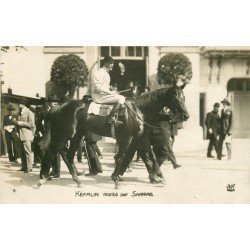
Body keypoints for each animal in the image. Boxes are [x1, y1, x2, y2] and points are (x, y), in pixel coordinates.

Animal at [36, 85, 188, 188]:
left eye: (184, 97)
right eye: (175, 97)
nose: (186, 115)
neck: (137, 110)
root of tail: (58, 108)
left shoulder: (140, 137)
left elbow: (152, 157)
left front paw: (160, 177)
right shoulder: (126, 138)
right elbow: (120, 157)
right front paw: (115, 179)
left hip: (76, 136)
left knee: (67, 155)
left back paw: (76, 180)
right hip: (63, 135)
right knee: (52, 152)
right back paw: (42, 179)